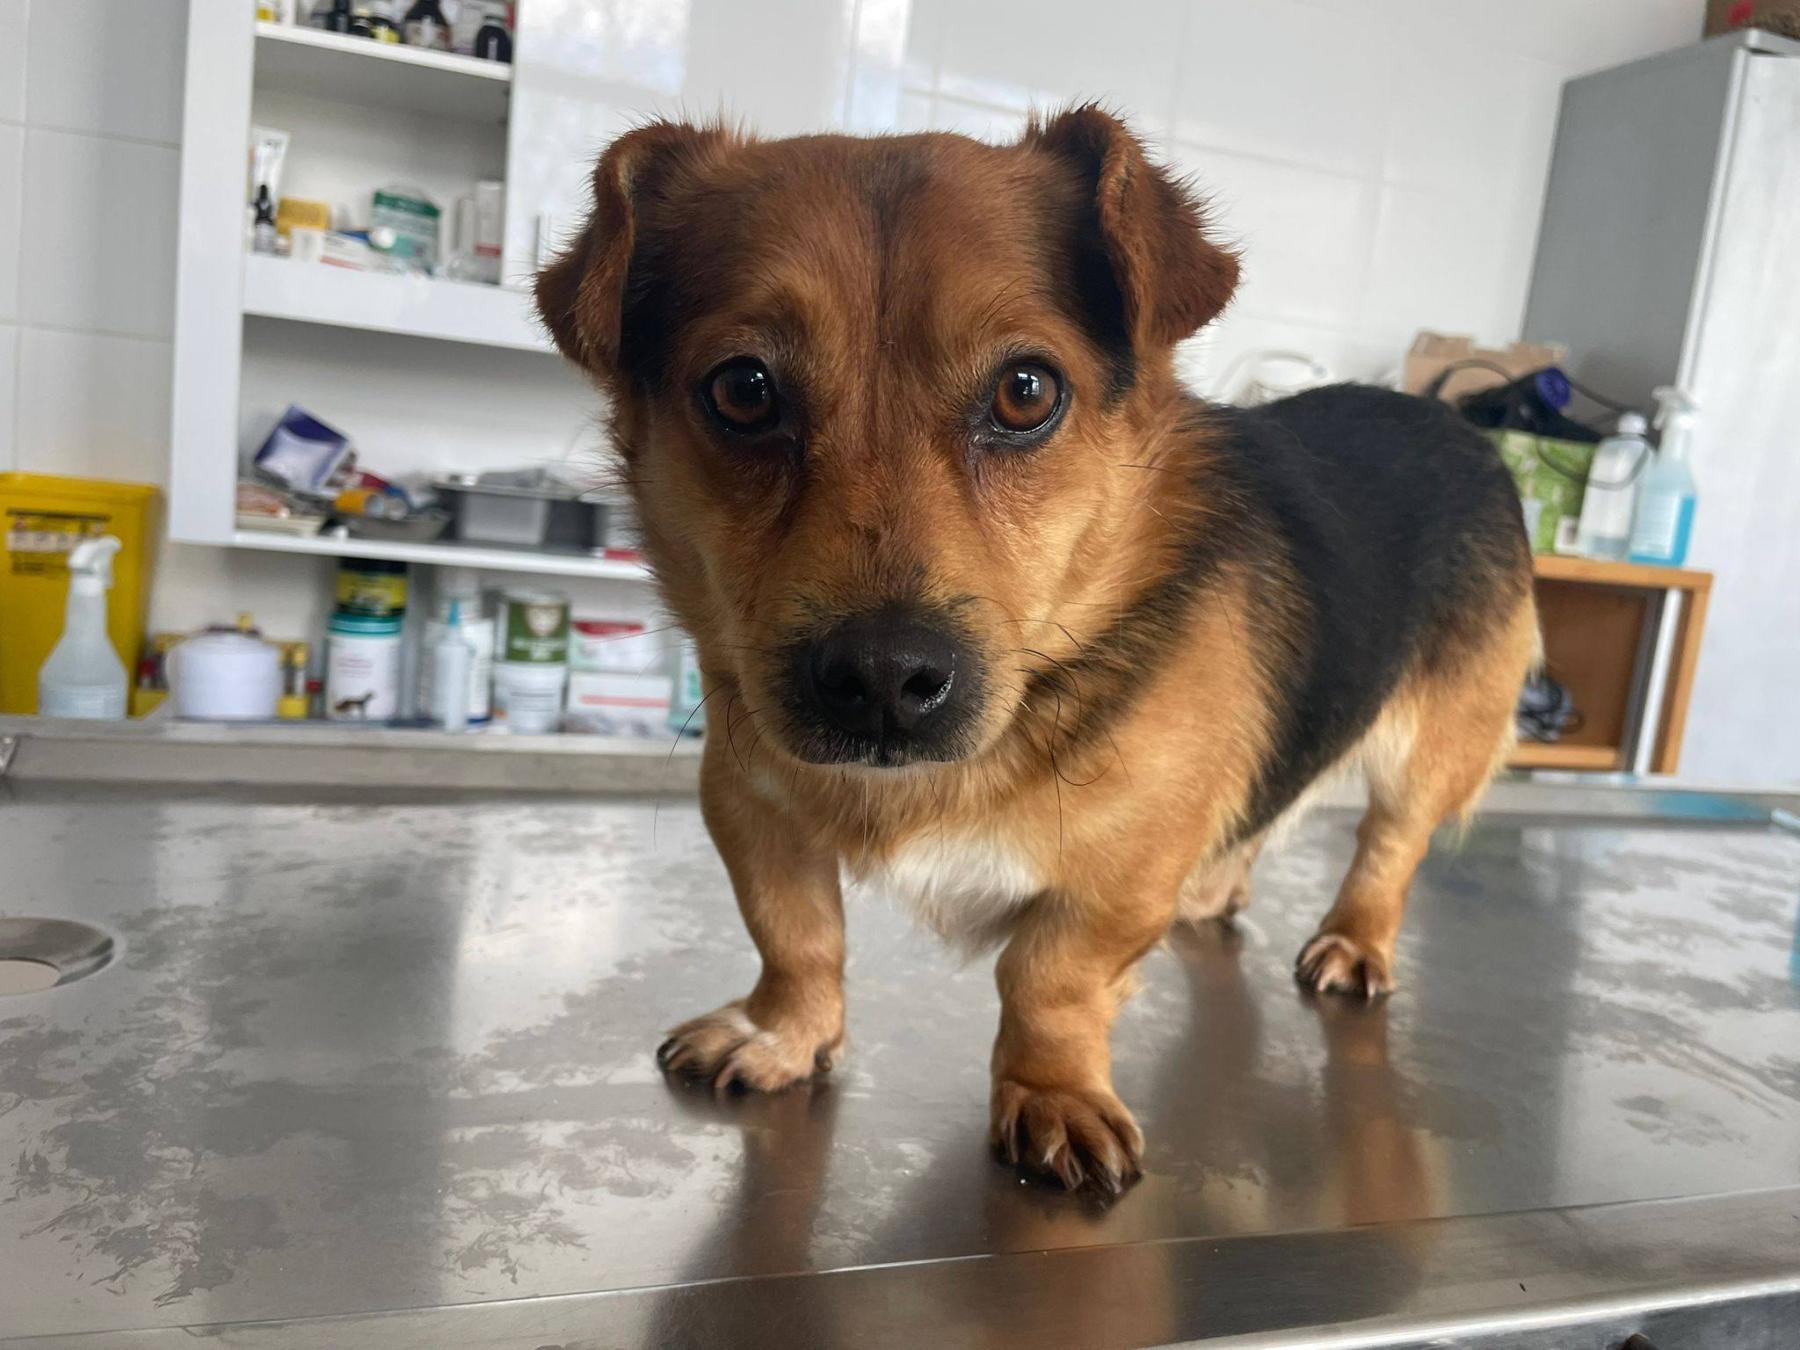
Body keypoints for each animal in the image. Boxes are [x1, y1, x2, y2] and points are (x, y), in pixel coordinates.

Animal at [536, 106, 1539, 1194]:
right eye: (744, 391)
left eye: (1025, 392)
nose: (881, 680)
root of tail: (1455, 422)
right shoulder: (752, 808)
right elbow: (796, 937)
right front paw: (784, 1034)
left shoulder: (1123, 875)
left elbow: (1049, 978)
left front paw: (1051, 1091)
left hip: (1431, 749)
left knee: (1388, 845)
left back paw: (1354, 940)